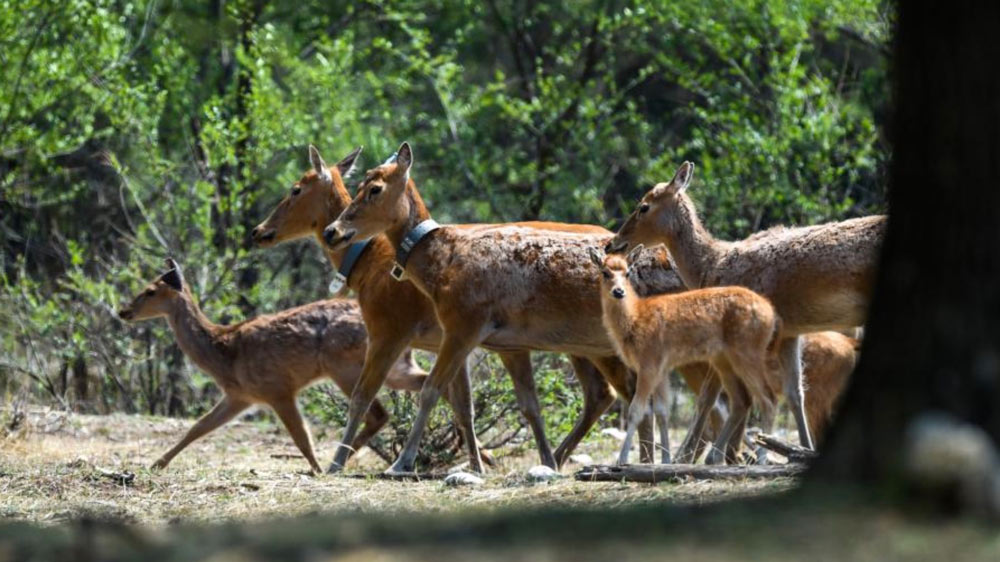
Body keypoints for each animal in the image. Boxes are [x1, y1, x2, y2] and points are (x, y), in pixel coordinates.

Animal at [116, 258, 426, 472]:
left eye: (150, 291)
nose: (123, 311)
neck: (224, 353)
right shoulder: (240, 396)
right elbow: (199, 426)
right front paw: (156, 464)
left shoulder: (277, 389)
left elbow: (301, 436)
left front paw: (315, 470)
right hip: (396, 366)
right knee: (422, 386)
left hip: (345, 366)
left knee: (376, 412)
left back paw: (337, 461)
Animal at [252, 144, 680, 468]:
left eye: (295, 188)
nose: (259, 231)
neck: (367, 264)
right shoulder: (478, 340)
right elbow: (468, 405)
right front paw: (478, 463)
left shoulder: (394, 328)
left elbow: (374, 394)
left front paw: (347, 463)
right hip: (583, 346)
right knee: (610, 393)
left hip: (598, 345)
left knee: (625, 391)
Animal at [588, 247, 784, 462]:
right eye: (605, 272)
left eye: (627, 273)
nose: (618, 291)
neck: (635, 319)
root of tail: (772, 314)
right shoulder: (661, 367)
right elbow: (662, 411)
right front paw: (665, 461)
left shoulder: (649, 362)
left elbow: (636, 411)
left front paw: (621, 460)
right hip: (723, 359)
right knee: (742, 401)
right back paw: (716, 457)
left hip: (748, 351)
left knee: (769, 399)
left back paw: (762, 458)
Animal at [608, 161, 884, 446]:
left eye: (644, 206)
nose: (613, 243)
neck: (710, 267)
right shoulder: (790, 331)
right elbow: (795, 393)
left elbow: (709, 398)